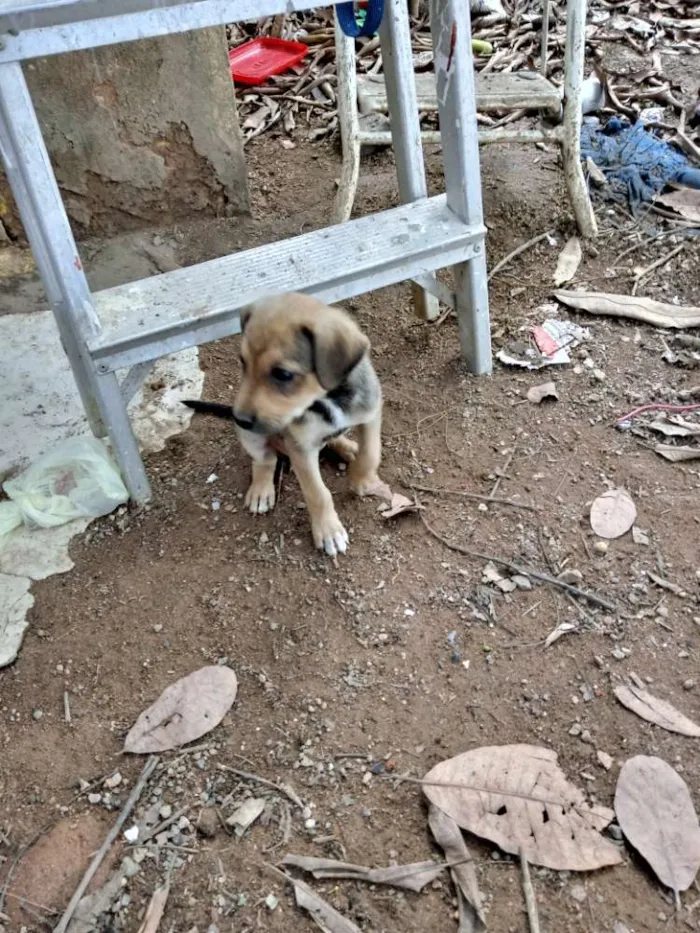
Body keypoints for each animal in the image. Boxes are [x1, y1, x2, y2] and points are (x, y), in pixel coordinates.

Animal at [186, 292, 380, 552]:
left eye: (283, 374)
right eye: (243, 362)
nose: (240, 418)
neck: (326, 398)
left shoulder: (371, 412)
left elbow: (371, 453)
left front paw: (362, 479)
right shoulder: (301, 448)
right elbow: (318, 493)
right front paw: (329, 530)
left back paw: (346, 448)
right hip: (254, 437)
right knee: (265, 460)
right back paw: (261, 489)